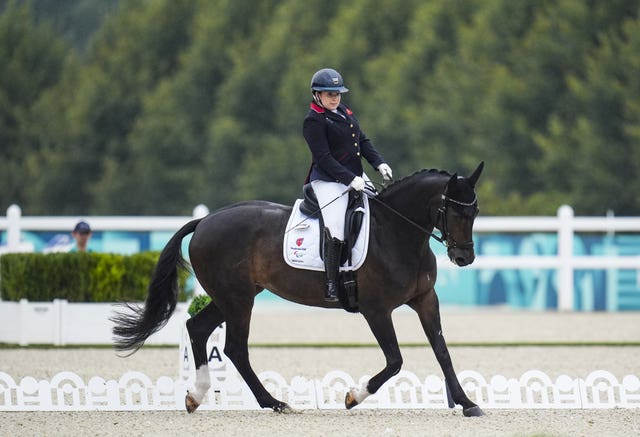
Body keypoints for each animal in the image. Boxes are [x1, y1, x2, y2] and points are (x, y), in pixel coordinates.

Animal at [114, 163, 484, 416]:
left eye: (475, 211)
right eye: (453, 211)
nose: (464, 257)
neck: (395, 232)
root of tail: (204, 221)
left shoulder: (425, 300)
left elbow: (442, 351)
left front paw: (467, 403)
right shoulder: (376, 310)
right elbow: (395, 360)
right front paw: (353, 396)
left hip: (231, 296)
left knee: (199, 328)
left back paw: (197, 396)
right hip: (238, 299)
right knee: (234, 348)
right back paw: (274, 403)